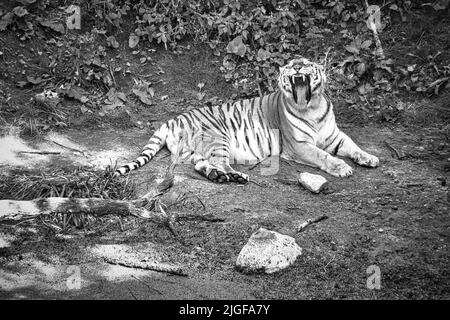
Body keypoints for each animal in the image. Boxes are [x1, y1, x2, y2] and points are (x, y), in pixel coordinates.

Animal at [115, 56, 380, 184]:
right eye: (290, 66)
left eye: (305, 64)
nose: (296, 67)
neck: (312, 107)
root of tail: (172, 119)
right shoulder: (299, 146)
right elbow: (323, 156)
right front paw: (343, 168)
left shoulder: (335, 136)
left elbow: (354, 146)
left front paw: (370, 158)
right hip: (217, 138)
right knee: (220, 163)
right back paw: (236, 176)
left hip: (193, 152)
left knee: (201, 165)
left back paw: (218, 177)